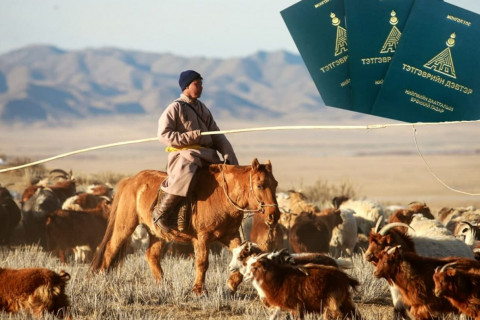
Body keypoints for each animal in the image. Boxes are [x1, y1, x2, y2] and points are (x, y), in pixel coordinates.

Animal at [89, 159, 282, 294]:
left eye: (275, 184)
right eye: (260, 185)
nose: (274, 215)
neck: (222, 196)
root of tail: (131, 180)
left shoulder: (230, 235)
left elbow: (243, 257)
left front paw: (231, 284)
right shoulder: (202, 238)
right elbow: (202, 263)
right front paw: (198, 290)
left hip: (158, 234)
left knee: (151, 255)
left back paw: (163, 284)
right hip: (125, 225)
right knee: (111, 248)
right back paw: (102, 277)